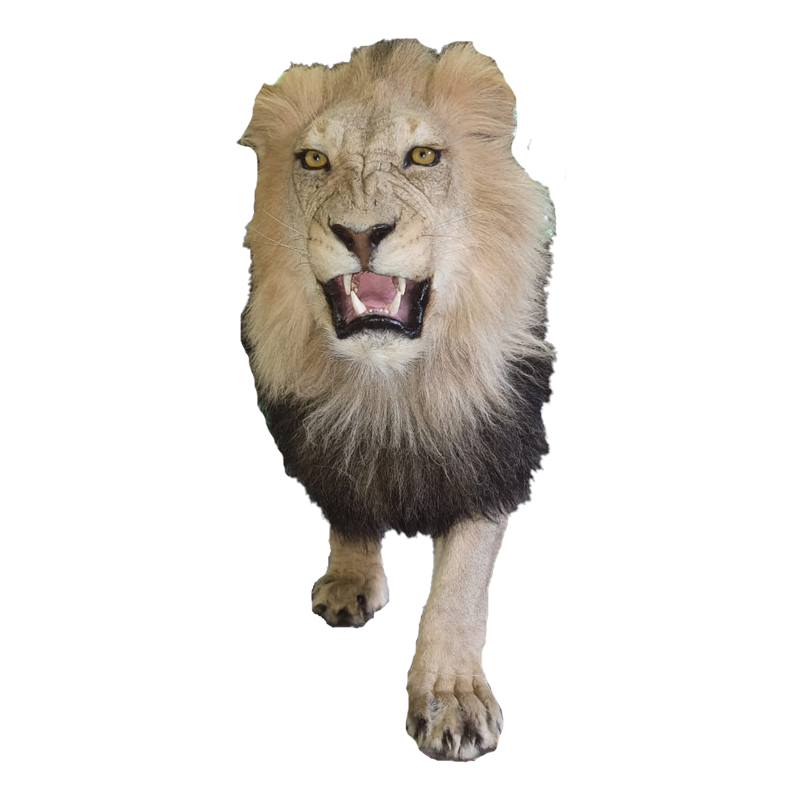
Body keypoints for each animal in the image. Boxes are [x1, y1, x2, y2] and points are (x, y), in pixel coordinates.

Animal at [243, 39, 554, 761]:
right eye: (313, 160)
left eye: (423, 157)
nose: (360, 234)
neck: (387, 392)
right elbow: (346, 512)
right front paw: (352, 580)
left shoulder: (491, 459)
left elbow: (459, 587)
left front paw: (452, 697)